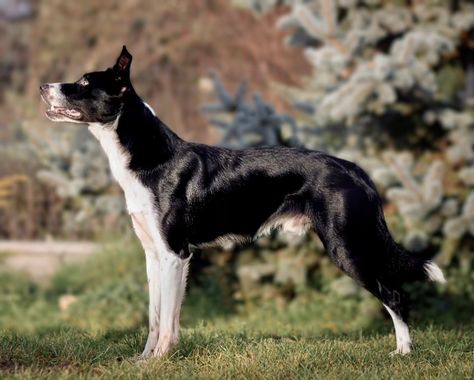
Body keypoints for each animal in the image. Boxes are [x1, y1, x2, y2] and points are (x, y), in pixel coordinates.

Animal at [39, 46, 444, 358]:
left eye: (84, 83)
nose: (43, 86)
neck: (151, 158)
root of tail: (355, 169)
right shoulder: (154, 255)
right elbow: (155, 318)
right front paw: (143, 361)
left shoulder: (175, 254)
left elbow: (167, 319)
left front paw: (160, 361)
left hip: (347, 247)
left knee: (394, 295)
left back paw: (403, 352)